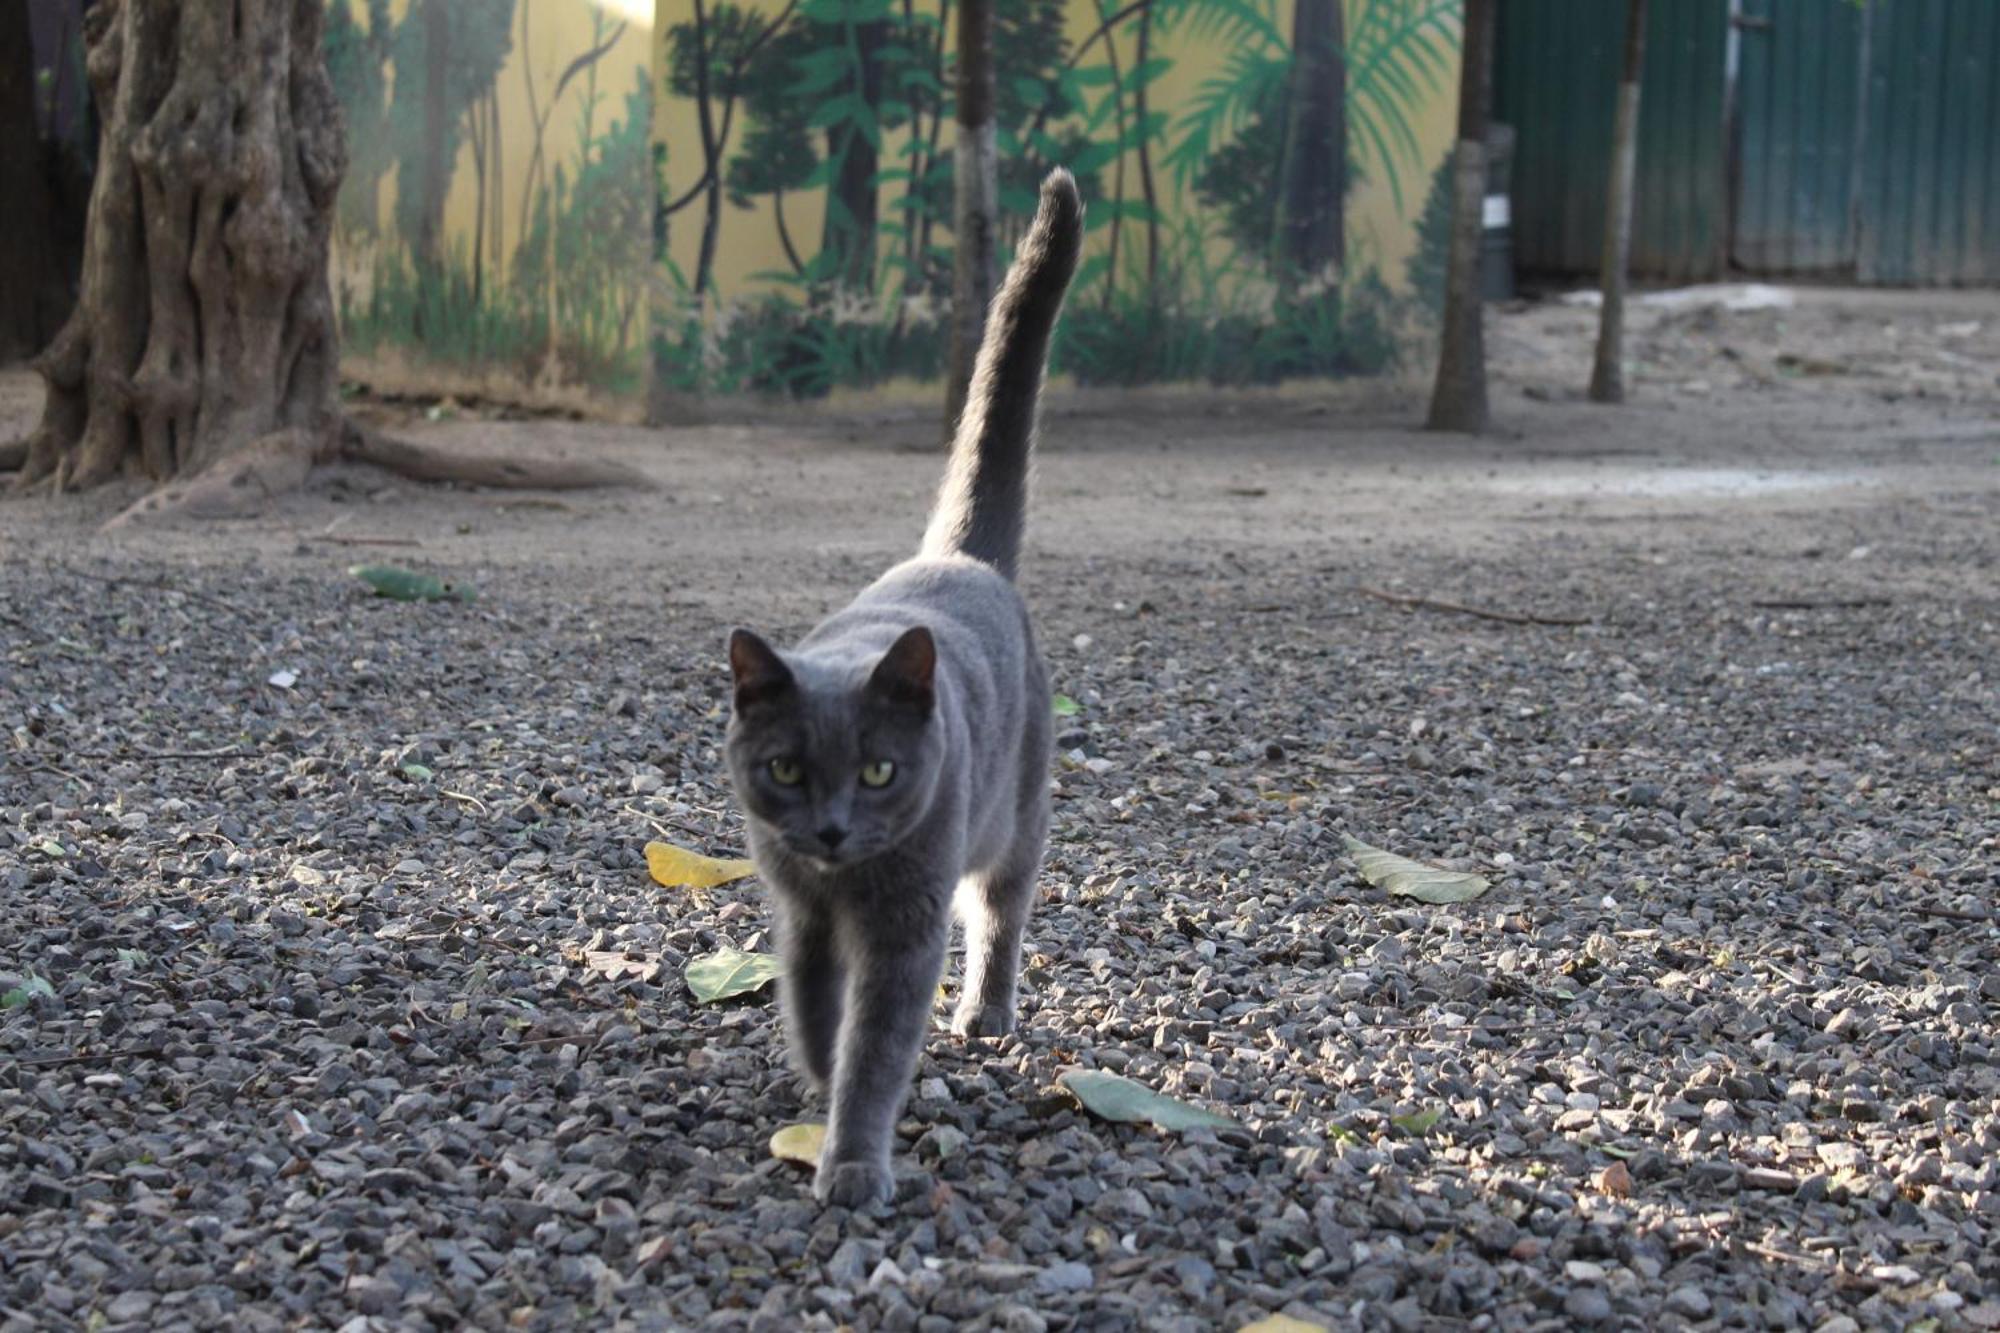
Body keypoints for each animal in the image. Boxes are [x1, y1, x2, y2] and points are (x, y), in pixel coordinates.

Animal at [728, 166, 1088, 1200]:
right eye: (787, 769)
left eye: (880, 771)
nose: (832, 826)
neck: (845, 885)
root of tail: (959, 556)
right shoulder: (801, 916)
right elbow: (813, 1004)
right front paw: (816, 1073)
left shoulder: (906, 929)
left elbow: (880, 1042)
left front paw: (852, 1157)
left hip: (1013, 814)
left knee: (1002, 906)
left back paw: (986, 1013)